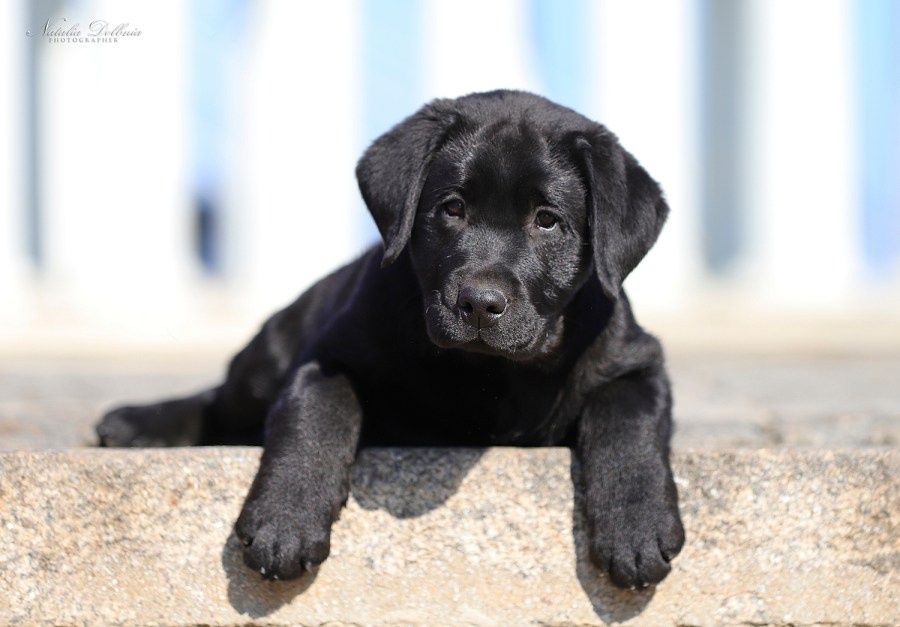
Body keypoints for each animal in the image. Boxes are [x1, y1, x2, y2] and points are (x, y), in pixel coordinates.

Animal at [96, 91, 684, 592]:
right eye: (452, 208)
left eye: (547, 221)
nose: (478, 302)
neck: (487, 371)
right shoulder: (325, 357)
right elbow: (316, 413)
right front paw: (285, 518)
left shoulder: (636, 361)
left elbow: (627, 425)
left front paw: (636, 526)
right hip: (270, 356)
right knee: (219, 403)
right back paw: (135, 423)